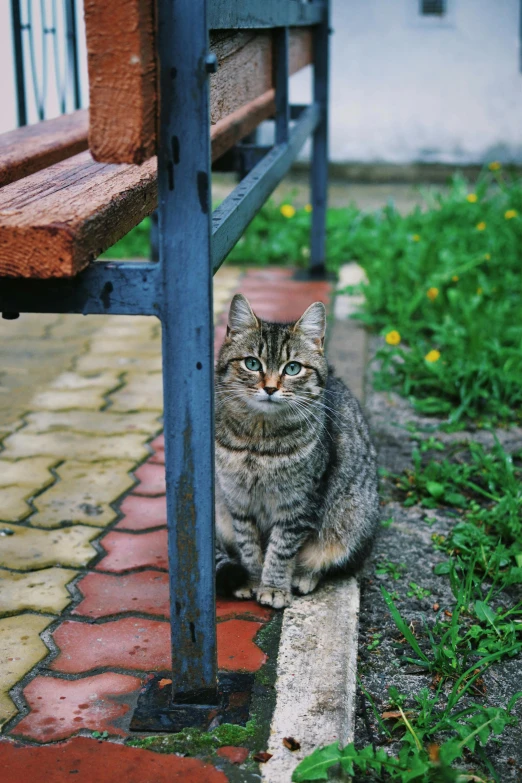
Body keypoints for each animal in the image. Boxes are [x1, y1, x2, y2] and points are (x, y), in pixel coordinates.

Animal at [213, 296, 376, 612]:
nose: (270, 388)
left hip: (352, 520)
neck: (258, 442)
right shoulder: (238, 502)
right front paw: (252, 580)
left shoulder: (298, 505)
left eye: (292, 368)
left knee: (329, 562)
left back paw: (304, 577)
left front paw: (274, 588)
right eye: (252, 363)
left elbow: (280, 550)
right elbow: (249, 547)